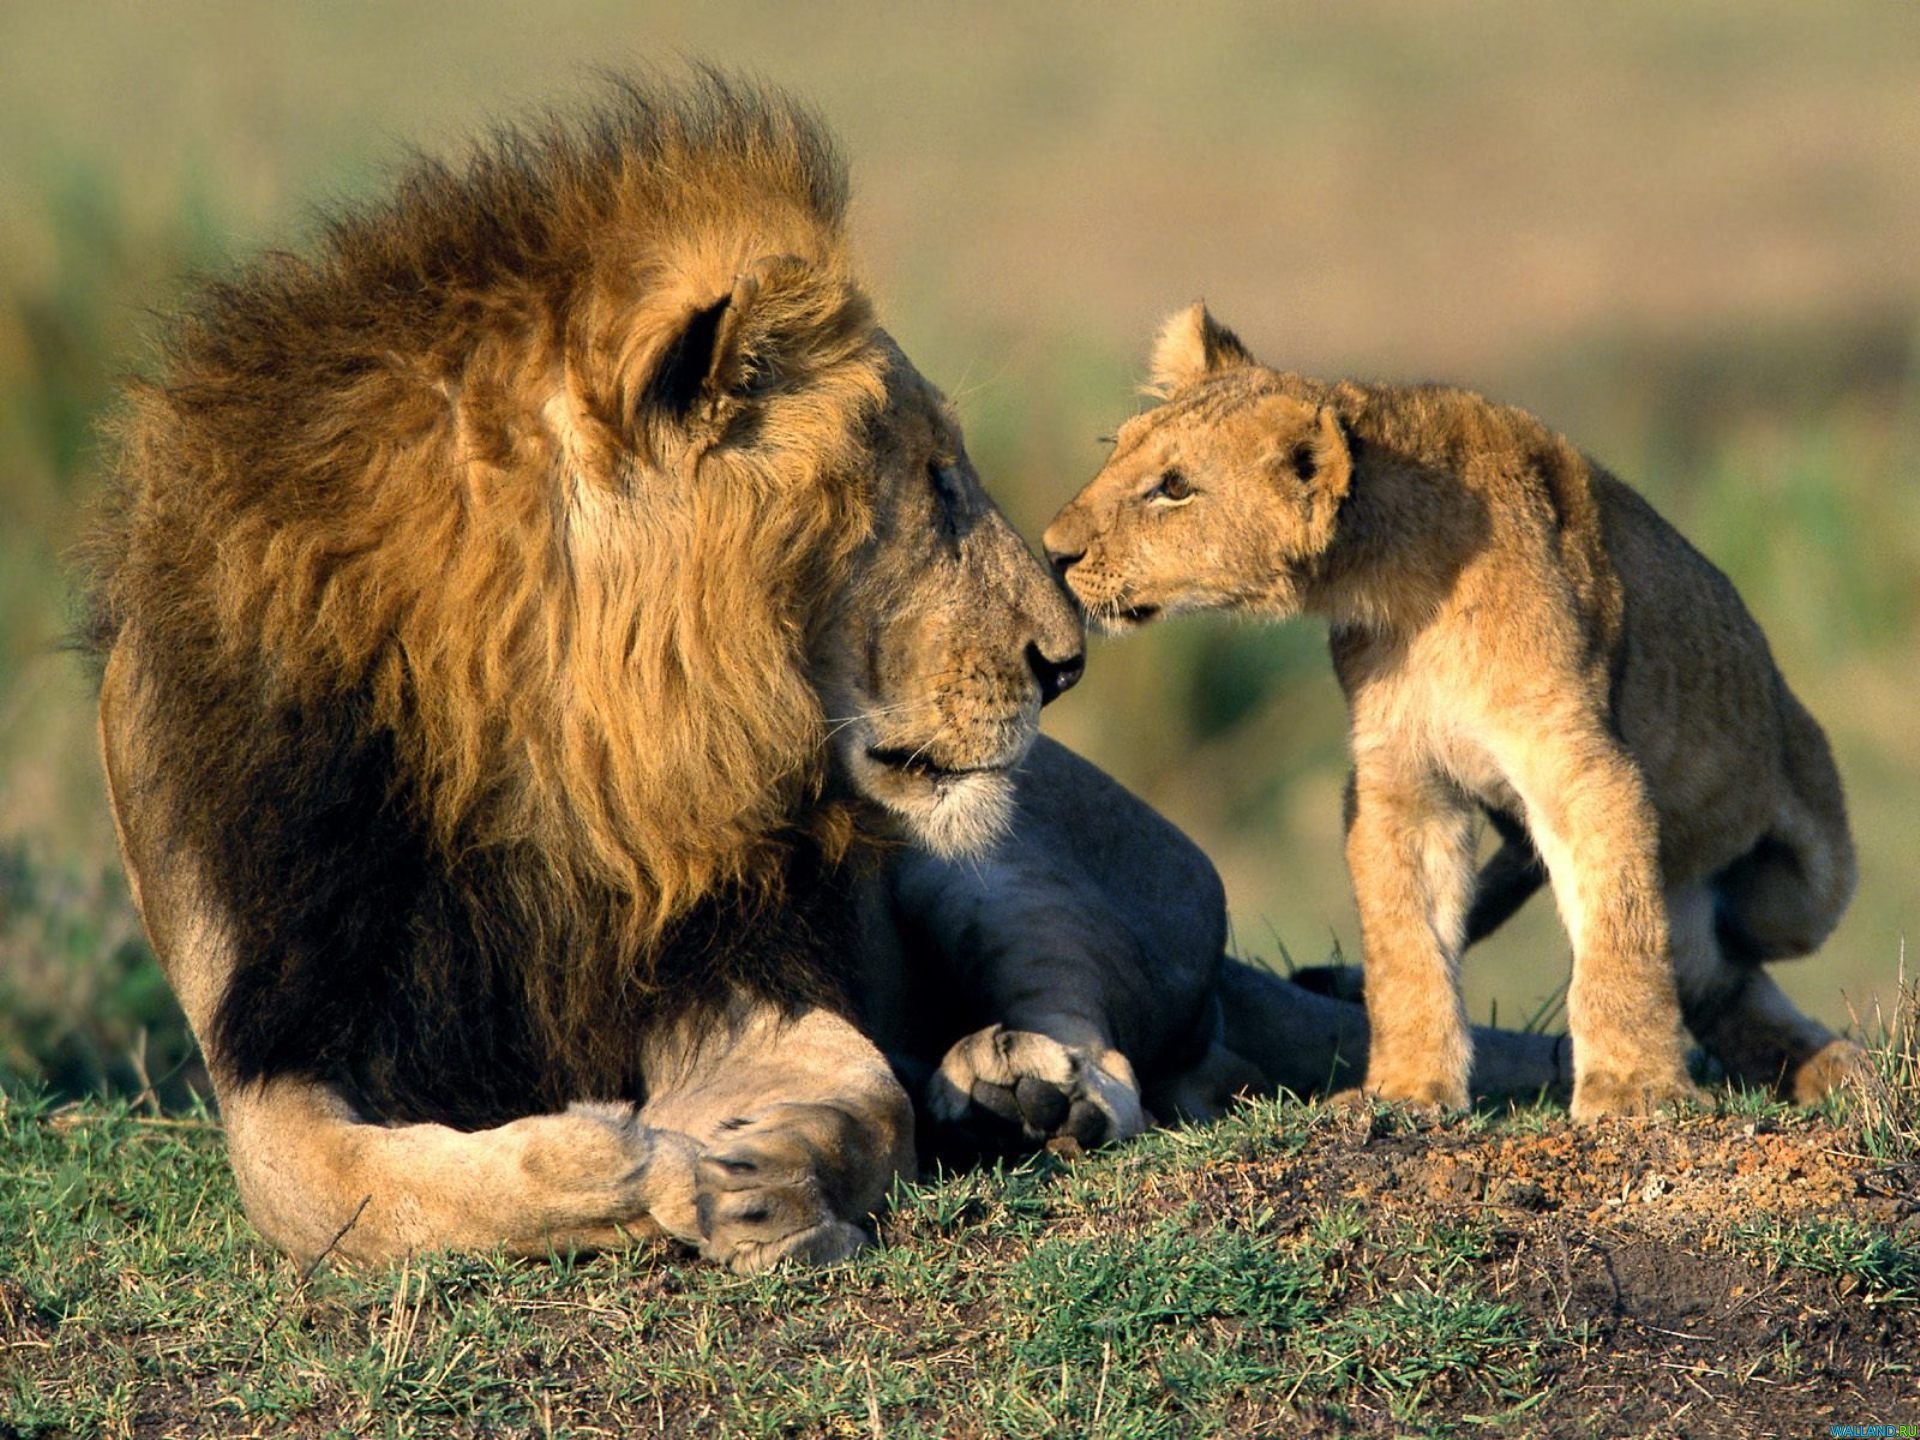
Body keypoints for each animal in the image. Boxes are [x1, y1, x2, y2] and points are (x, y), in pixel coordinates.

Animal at [1043, 303, 1863, 1121]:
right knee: (1709, 975)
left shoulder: (1583, 767)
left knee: (1729, 954)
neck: (1401, 586)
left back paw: (1834, 1064)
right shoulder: (1401, 781)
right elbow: (1407, 945)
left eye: (1174, 488)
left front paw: (1632, 1088)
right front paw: (1408, 1088)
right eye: (1116, 453)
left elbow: (1620, 932)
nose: (1052, 552)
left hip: (1803, 888)